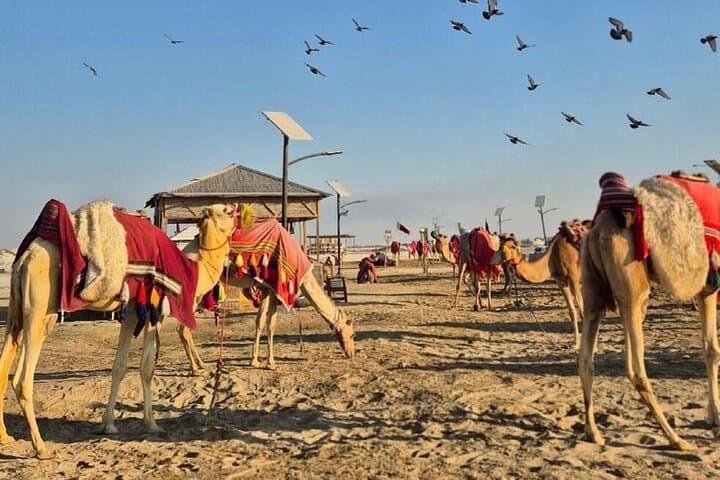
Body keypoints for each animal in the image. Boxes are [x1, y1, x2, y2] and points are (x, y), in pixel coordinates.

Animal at [0, 201, 235, 459]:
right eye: (226, 211)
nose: (236, 206)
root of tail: (26, 257)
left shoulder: (131, 311)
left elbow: (119, 366)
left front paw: (109, 424)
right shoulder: (153, 310)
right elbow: (146, 368)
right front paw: (152, 423)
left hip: (17, 310)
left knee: (5, 360)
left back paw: (5, 437)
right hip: (41, 308)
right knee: (22, 379)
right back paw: (41, 447)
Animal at [499, 220, 590, 349]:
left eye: (513, 246)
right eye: (500, 246)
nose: (502, 257)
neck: (553, 256)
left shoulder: (574, 278)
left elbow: (582, 311)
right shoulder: (561, 281)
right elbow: (572, 311)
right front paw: (575, 344)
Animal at [579, 171, 720, 451]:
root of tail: (597, 230)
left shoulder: (705, 287)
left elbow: (709, 349)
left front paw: (713, 417)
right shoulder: (710, 285)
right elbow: (713, 349)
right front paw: (717, 419)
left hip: (593, 292)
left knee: (585, 359)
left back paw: (593, 432)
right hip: (634, 288)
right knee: (635, 369)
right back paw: (677, 439)